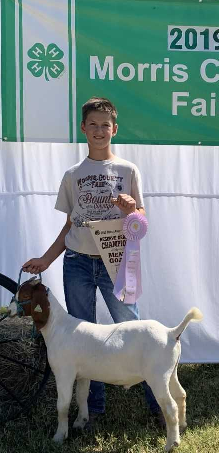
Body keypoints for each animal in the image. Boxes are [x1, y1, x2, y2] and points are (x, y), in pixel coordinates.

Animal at [9, 278, 203, 450]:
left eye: (24, 293)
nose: (9, 309)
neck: (59, 327)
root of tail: (171, 332)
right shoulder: (83, 375)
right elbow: (81, 397)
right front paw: (80, 423)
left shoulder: (64, 373)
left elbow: (62, 405)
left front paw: (59, 436)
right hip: (171, 372)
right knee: (181, 395)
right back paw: (182, 427)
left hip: (157, 376)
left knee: (170, 407)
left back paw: (171, 444)